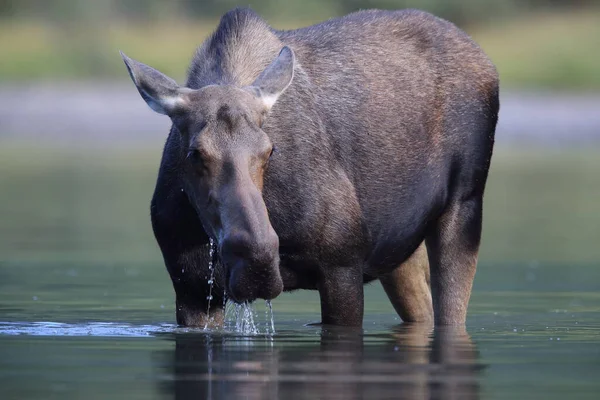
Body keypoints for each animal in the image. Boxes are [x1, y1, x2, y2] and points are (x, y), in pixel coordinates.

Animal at [120, 7, 496, 326]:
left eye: (269, 150)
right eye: (196, 153)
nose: (257, 260)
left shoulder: (342, 265)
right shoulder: (192, 287)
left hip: (465, 206)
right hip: (402, 251)